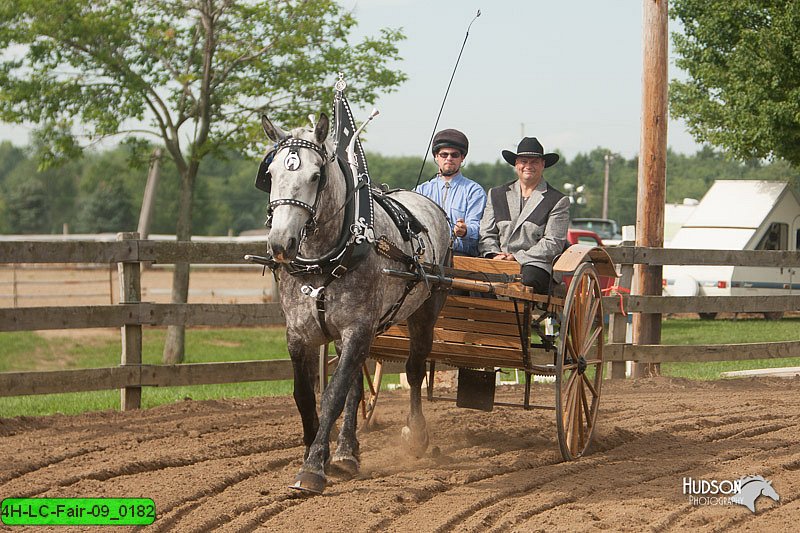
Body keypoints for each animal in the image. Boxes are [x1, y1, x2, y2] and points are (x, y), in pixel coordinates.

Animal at [260, 112, 454, 494]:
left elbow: (333, 394)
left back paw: (415, 435)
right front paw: (316, 452)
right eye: (271, 174)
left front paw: (313, 468)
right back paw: (347, 452)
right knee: (356, 382)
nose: (280, 244)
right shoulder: (300, 335)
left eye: (315, 176)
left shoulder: (356, 328)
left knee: (413, 371)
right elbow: (306, 395)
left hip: (423, 312)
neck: (323, 260)